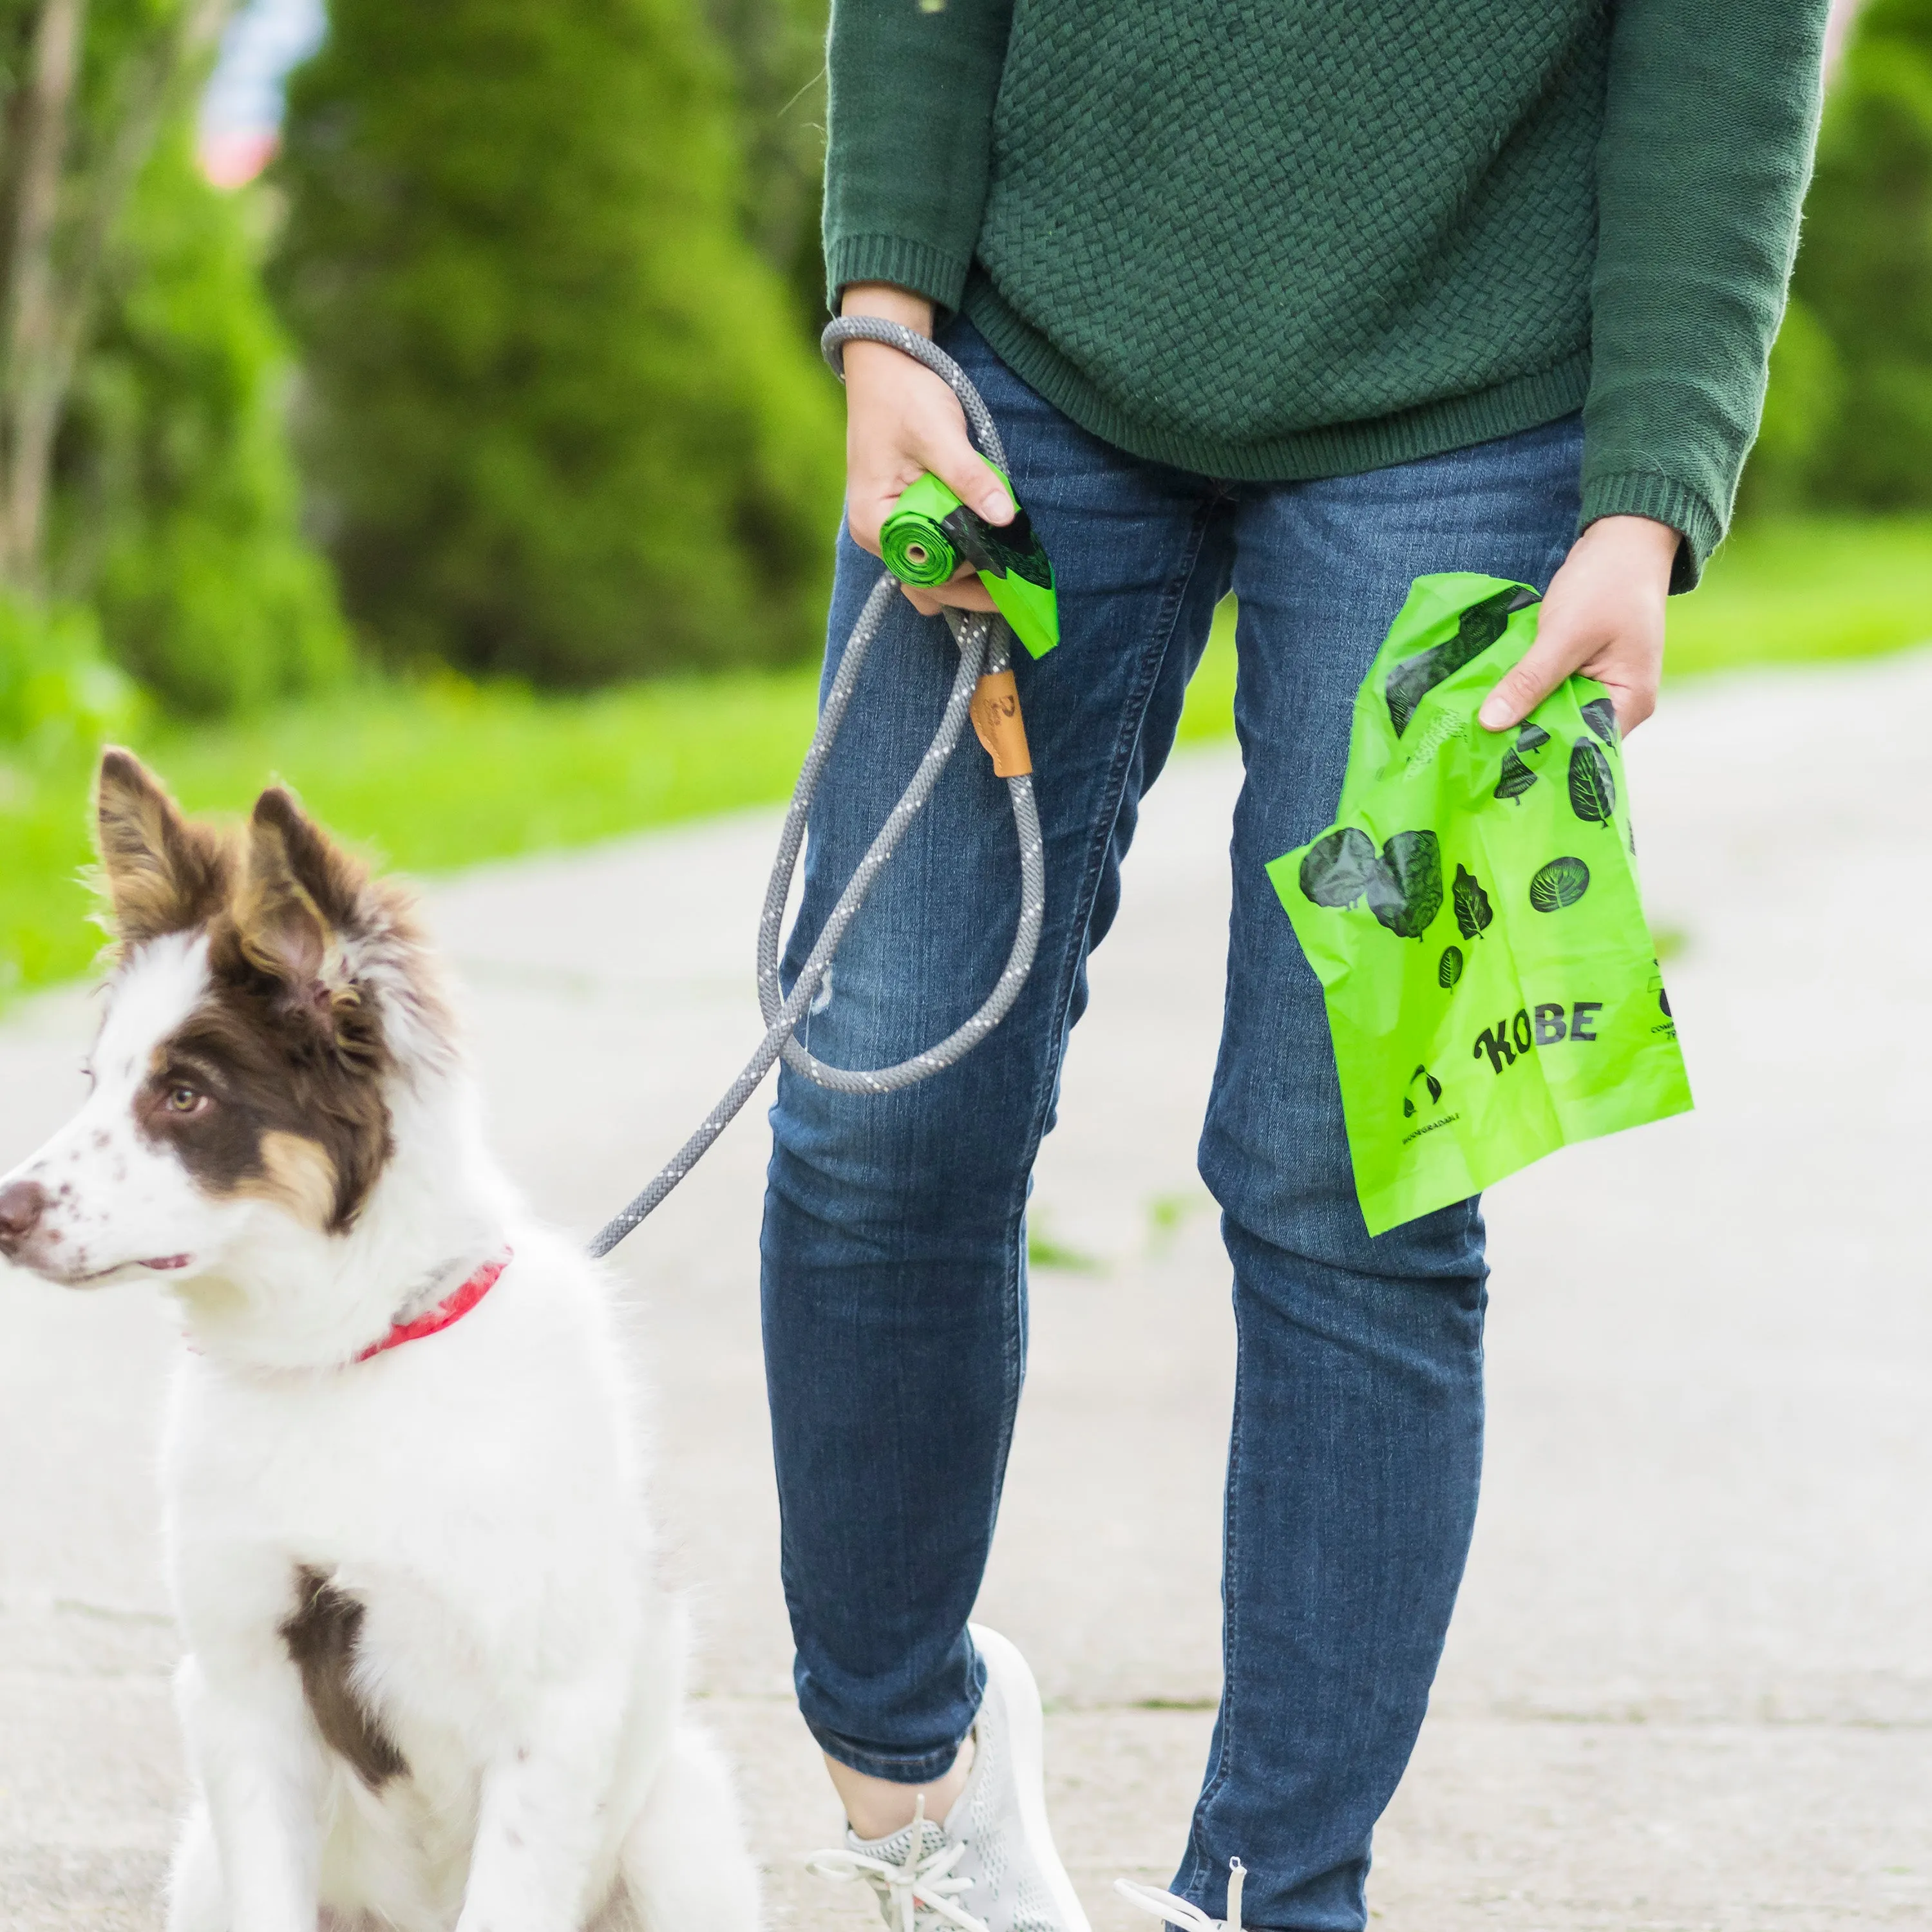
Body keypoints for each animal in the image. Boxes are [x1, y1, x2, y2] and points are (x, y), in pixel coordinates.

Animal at [0, 750, 765, 1932]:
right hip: (200, 1864)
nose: (1, 1211)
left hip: (683, 1833)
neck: (347, 1358)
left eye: (186, 1095)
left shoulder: (547, 1721)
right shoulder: (241, 1691)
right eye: (98, 1083)